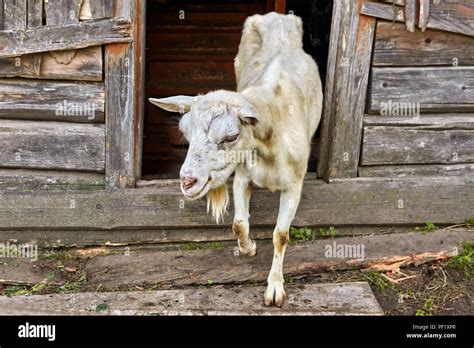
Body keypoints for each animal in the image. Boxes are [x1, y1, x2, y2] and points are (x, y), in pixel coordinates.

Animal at [150, 12, 324, 308]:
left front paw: (275, 289)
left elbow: (281, 235)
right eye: (185, 132)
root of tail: (277, 16)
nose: (187, 181)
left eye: (231, 136)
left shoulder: (294, 185)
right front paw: (249, 248)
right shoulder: (242, 176)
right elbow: (239, 223)